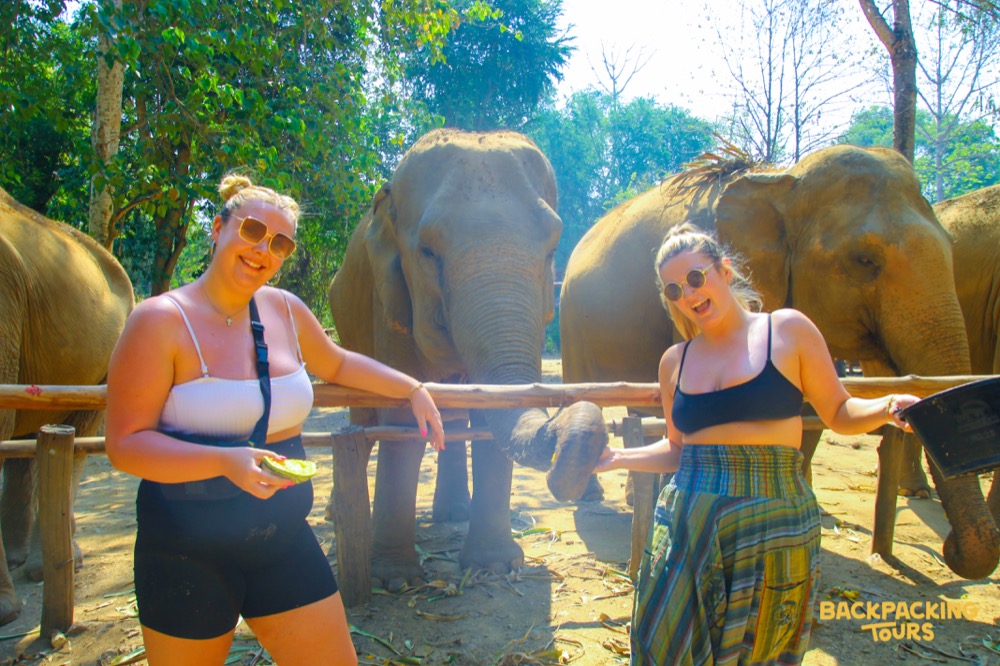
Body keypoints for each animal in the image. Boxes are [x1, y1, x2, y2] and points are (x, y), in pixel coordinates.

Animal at [328, 129, 607, 590]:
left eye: (552, 250)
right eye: (427, 251)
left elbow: (488, 414)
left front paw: (495, 566)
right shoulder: (388, 303)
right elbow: (403, 420)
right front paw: (395, 581)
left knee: (453, 417)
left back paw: (454, 513)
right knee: (365, 417)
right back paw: (340, 513)